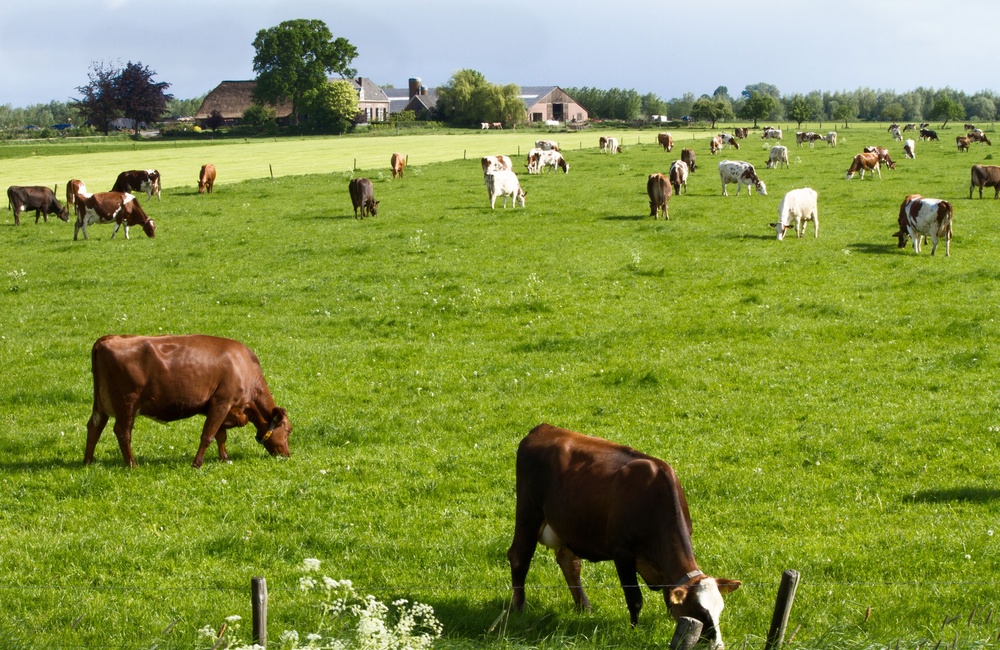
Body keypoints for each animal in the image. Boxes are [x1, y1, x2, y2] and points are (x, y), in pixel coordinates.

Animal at [84, 334, 292, 468]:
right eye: (288, 430)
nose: (288, 454)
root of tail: (110, 338)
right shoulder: (222, 402)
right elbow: (208, 435)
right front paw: (197, 464)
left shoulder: (222, 407)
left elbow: (220, 435)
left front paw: (224, 458)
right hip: (127, 403)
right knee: (122, 431)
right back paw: (132, 464)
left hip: (101, 404)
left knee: (94, 427)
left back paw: (88, 461)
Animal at [507, 423, 741, 649]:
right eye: (699, 611)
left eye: (720, 610)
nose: (718, 645)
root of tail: (543, 428)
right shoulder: (622, 554)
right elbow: (634, 598)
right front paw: (634, 630)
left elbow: (668, 595)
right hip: (528, 514)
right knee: (519, 558)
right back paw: (519, 609)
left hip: (567, 526)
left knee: (569, 563)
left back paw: (584, 607)